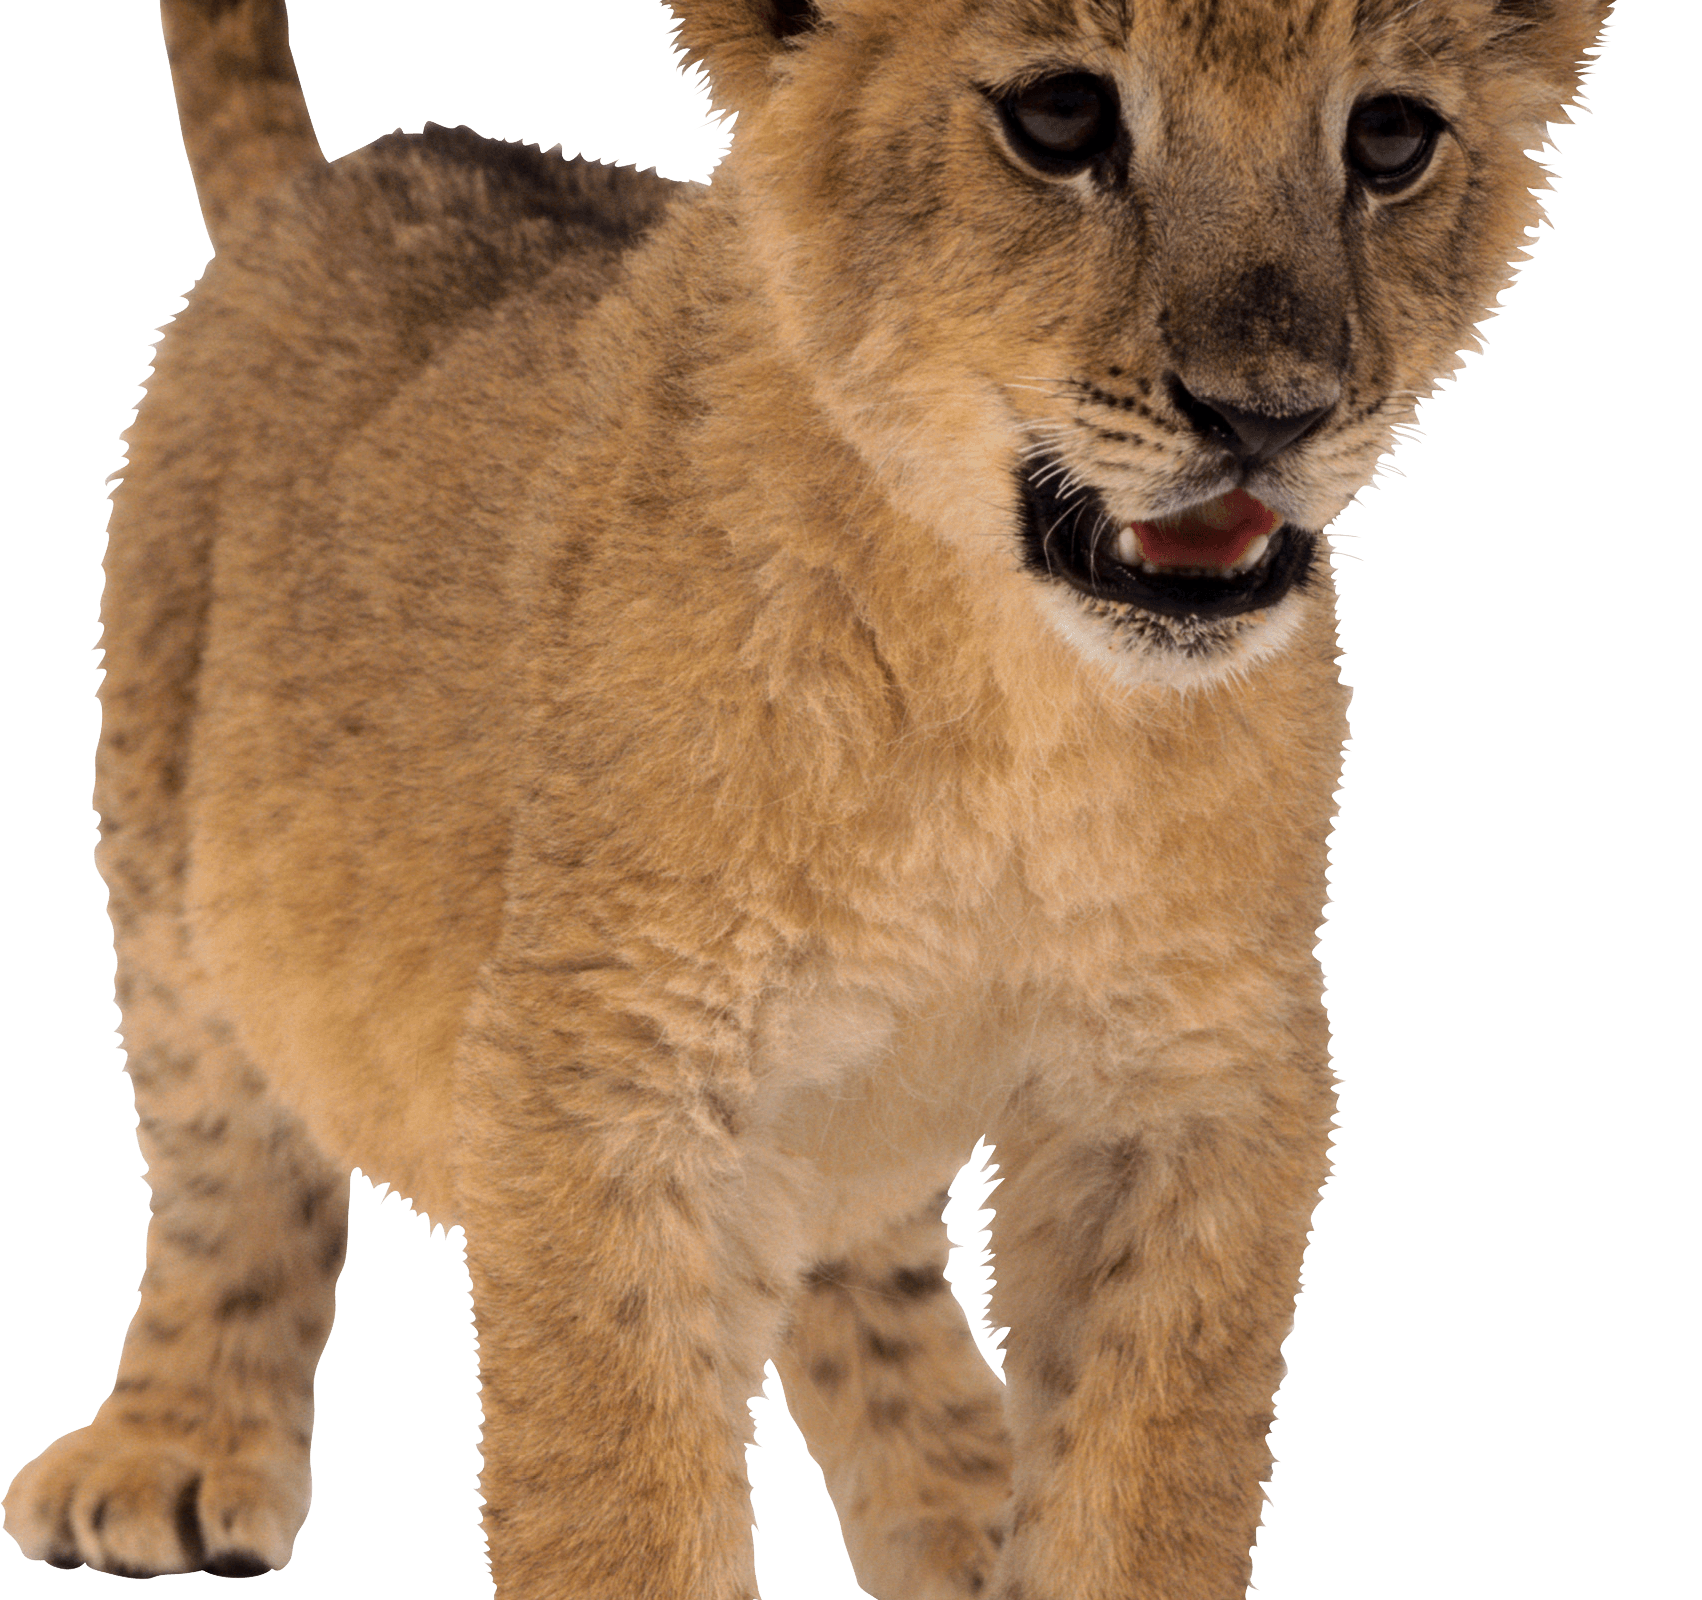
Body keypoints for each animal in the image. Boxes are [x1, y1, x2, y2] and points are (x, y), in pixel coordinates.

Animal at [3, 2, 1612, 1596]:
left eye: (1389, 137)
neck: (1010, 701)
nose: (1268, 416)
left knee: (859, 1251)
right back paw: (172, 1454)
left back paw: (965, 1505)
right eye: (1059, 119)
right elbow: (618, 1496)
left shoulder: (1193, 1072)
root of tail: (321, 186)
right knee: (224, 1162)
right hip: (166, 849)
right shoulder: (605, 1067)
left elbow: (1144, 1478)